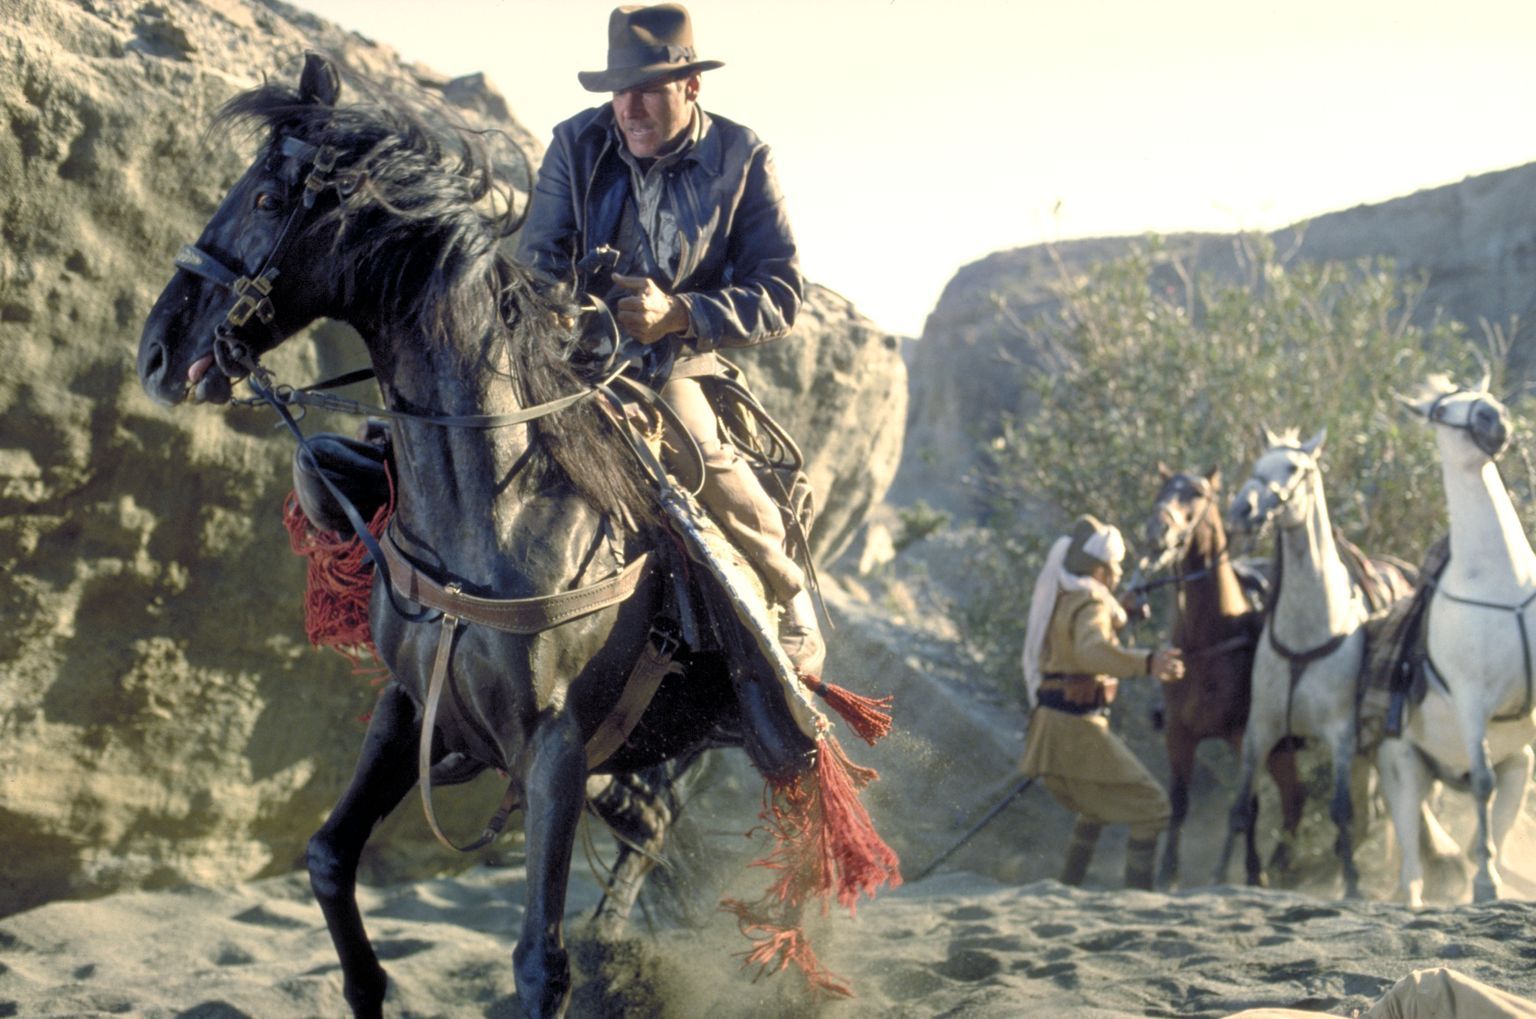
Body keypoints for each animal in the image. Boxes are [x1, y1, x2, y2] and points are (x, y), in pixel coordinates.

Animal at [141, 53, 897, 1019]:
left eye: (270, 198)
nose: (158, 350)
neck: (490, 519)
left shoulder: (555, 750)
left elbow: (541, 960)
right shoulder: (411, 707)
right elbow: (327, 855)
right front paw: (366, 984)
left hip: (760, 739)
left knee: (802, 851)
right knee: (649, 833)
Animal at [1148, 467, 1302, 891]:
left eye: (1198, 495)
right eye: (1162, 491)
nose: (1158, 530)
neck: (1209, 636)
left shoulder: (1241, 735)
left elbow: (1249, 805)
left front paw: (1251, 870)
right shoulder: (1178, 734)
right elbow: (1180, 800)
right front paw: (1167, 873)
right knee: (1295, 799)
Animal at [1222, 427, 1370, 897]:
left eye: (1293, 468)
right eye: (1257, 464)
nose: (1242, 510)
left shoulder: (1341, 734)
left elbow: (1341, 810)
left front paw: (1353, 886)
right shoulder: (1260, 730)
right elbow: (1240, 807)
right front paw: (1217, 878)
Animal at [1382, 375, 1536, 909]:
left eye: (1480, 393)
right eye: (1440, 410)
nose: (1494, 417)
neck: (1500, 583)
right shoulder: (1473, 702)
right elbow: (1483, 780)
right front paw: (1486, 884)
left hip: (1518, 766)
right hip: (1405, 775)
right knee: (1411, 867)